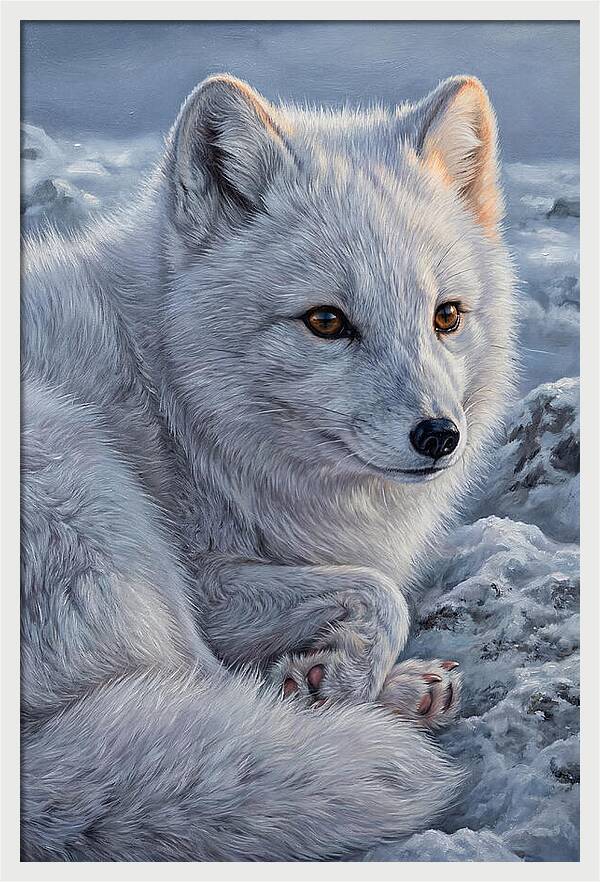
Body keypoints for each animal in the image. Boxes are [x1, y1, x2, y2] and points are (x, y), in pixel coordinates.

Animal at [20, 73, 516, 861]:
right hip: (91, 492)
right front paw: (341, 678)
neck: (171, 395)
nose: (440, 436)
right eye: (326, 322)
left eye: (447, 316)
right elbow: (382, 592)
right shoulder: (206, 580)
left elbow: (370, 590)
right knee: (204, 688)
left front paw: (332, 673)